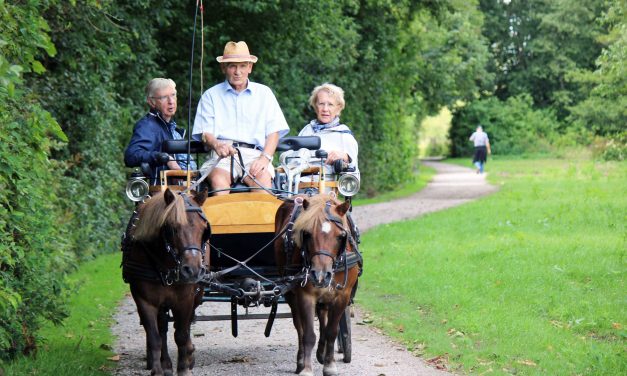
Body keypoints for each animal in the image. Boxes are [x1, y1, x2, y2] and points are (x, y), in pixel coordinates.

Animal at [122, 189, 211, 376]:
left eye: (204, 229)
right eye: (172, 228)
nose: (192, 270)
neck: (166, 263)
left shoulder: (185, 299)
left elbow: (182, 334)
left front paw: (183, 368)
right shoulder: (144, 300)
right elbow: (154, 337)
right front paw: (157, 369)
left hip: (197, 294)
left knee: (185, 324)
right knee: (162, 327)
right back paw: (167, 363)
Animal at [274, 194, 364, 376]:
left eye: (340, 236)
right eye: (307, 234)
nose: (320, 275)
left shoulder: (342, 296)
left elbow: (331, 331)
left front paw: (329, 365)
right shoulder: (305, 295)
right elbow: (308, 334)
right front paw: (307, 369)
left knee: (323, 318)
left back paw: (321, 353)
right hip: (291, 295)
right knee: (299, 326)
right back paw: (301, 360)